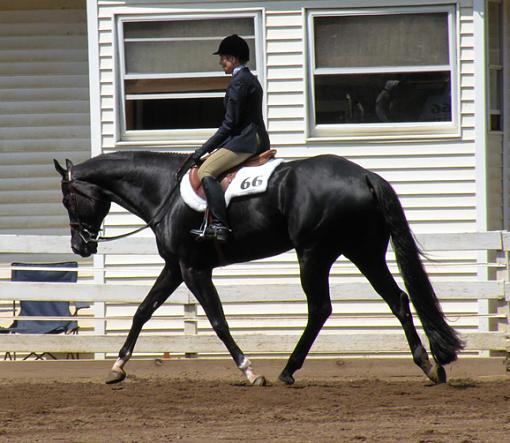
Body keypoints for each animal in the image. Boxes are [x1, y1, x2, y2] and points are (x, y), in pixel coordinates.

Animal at [53, 152, 464, 386]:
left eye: (67, 199)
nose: (79, 246)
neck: (164, 191)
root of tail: (363, 174)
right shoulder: (175, 267)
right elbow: (142, 312)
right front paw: (117, 368)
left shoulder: (193, 269)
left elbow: (218, 321)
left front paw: (250, 370)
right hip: (363, 252)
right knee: (398, 299)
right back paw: (428, 365)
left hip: (314, 253)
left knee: (321, 309)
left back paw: (287, 370)